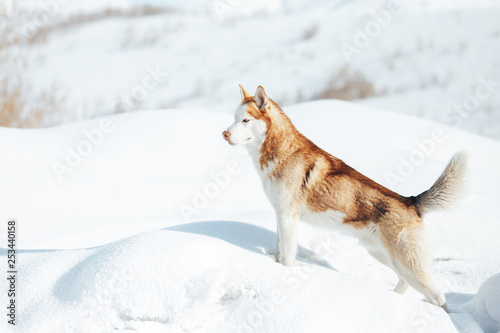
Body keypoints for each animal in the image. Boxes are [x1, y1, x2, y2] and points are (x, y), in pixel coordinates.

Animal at [223, 84, 464, 308]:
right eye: (234, 118)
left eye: (245, 120)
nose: (224, 134)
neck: (282, 153)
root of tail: (411, 201)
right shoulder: (281, 216)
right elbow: (279, 250)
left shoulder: (289, 218)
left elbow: (287, 258)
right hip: (383, 255)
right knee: (404, 284)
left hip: (407, 264)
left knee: (438, 297)